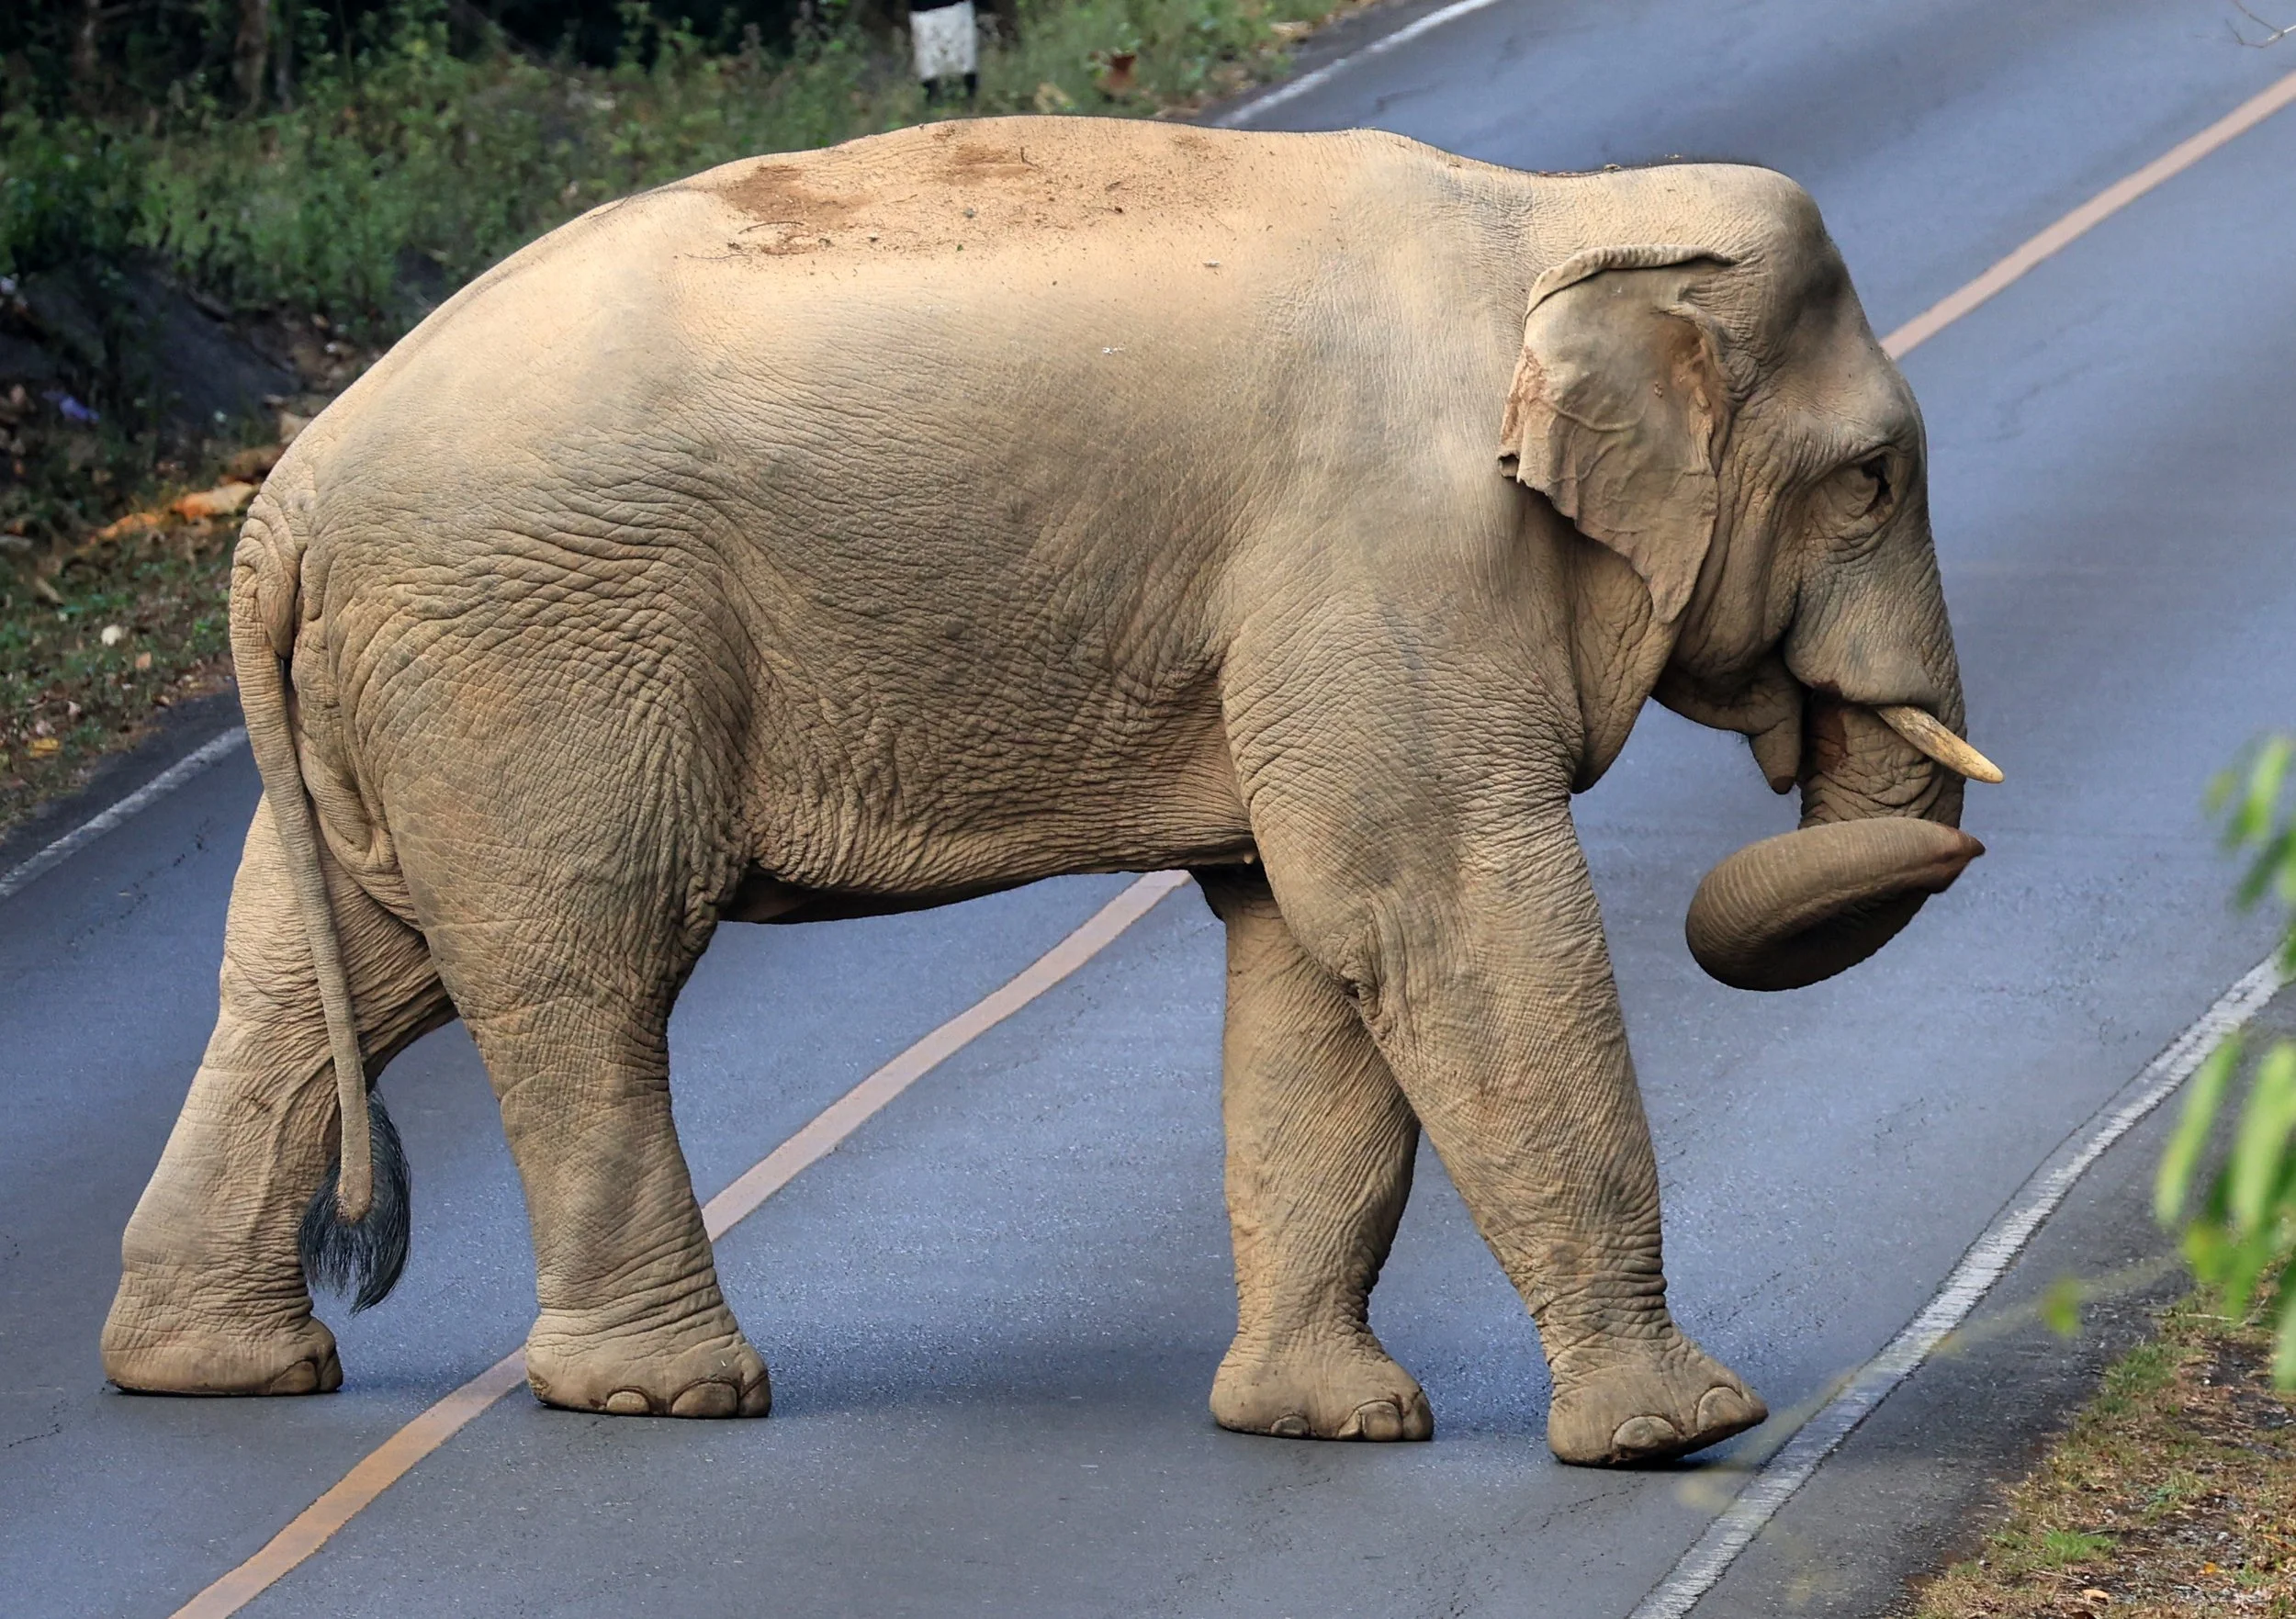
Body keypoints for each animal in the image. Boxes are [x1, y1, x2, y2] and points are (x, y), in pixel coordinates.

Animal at [100, 116, 1996, 1467]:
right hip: (541, 656)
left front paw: (1325, 1421)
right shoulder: (1384, 557)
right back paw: (666, 1393)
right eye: (1873, 479)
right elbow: (1429, 907)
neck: (1552, 217)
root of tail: (284, 498)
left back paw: (213, 1363)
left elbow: (1304, 945)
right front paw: (1683, 1431)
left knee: (320, 974)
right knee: (581, 968)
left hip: (402, 690)